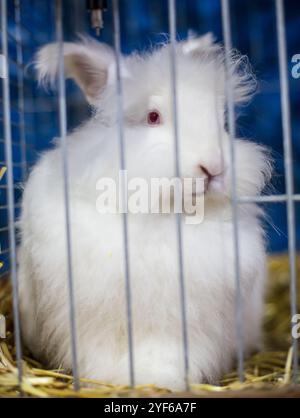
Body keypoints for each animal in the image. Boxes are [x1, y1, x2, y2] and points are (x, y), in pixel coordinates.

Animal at [18, 34, 272, 390]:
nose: (214, 166)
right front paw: (113, 380)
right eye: (153, 116)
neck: (164, 213)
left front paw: (160, 379)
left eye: (221, 120)